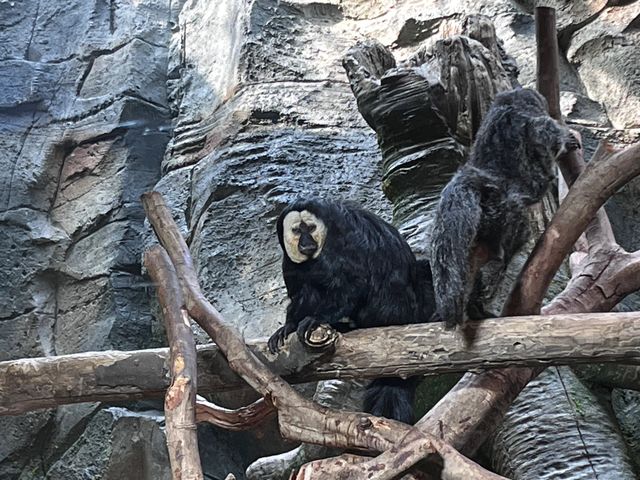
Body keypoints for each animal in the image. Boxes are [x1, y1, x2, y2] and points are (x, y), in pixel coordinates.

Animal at [264, 199, 436, 424]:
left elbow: (353, 283)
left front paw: (315, 318)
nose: (306, 242)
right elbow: (301, 289)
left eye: (310, 228)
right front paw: (289, 326)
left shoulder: (343, 238)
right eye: (297, 231)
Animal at [430, 86, 580, 328]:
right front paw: (566, 143)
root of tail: (477, 181)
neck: (508, 106)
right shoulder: (534, 125)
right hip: (500, 214)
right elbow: (545, 131)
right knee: (508, 247)